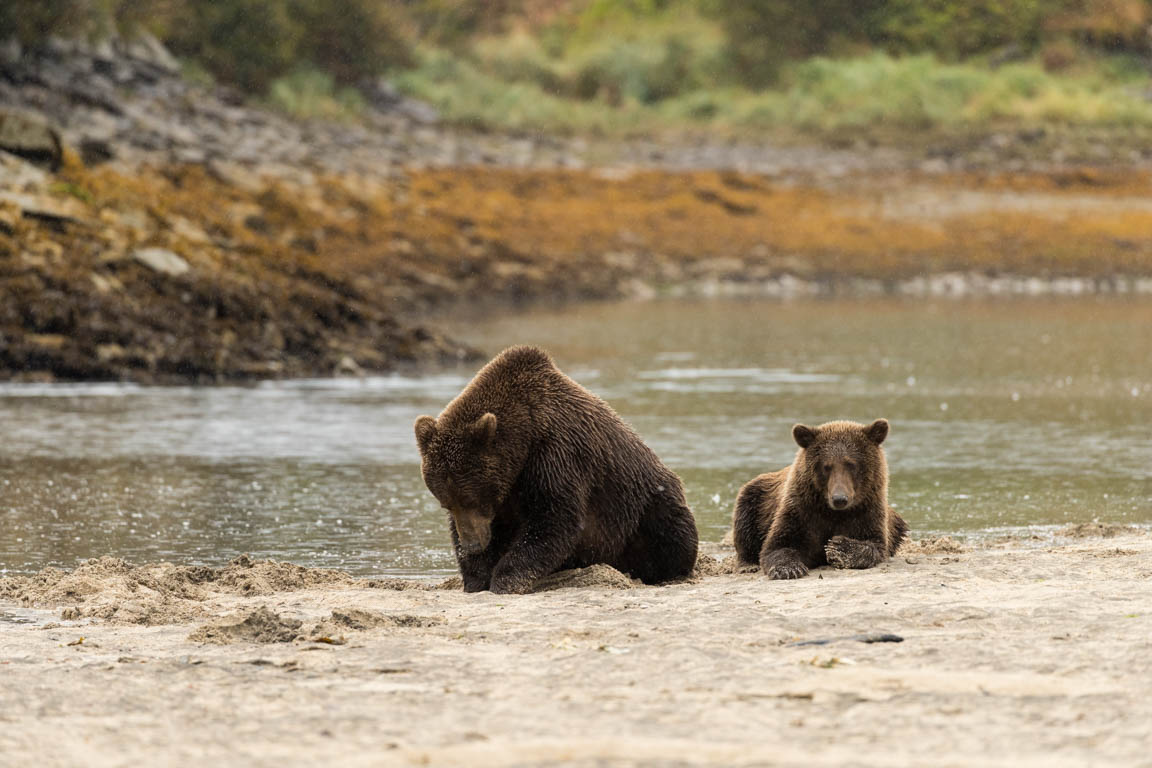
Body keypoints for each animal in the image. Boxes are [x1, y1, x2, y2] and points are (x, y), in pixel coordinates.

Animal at [417, 347, 695, 594]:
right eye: (446, 503)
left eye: (472, 499)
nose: (473, 545)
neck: (523, 441)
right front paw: (476, 578)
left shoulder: (557, 455)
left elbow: (554, 519)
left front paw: (505, 581)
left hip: (642, 503)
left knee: (672, 531)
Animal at [728, 421, 907, 575]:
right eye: (826, 466)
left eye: (852, 464)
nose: (839, 499)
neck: (833, 512)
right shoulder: (801, 510)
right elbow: (778, 545)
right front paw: (789, 569)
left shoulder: (867, 511)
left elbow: (873, 544)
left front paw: (837, 547)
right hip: (756, 497)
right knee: (745, 524)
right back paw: (748, 565)